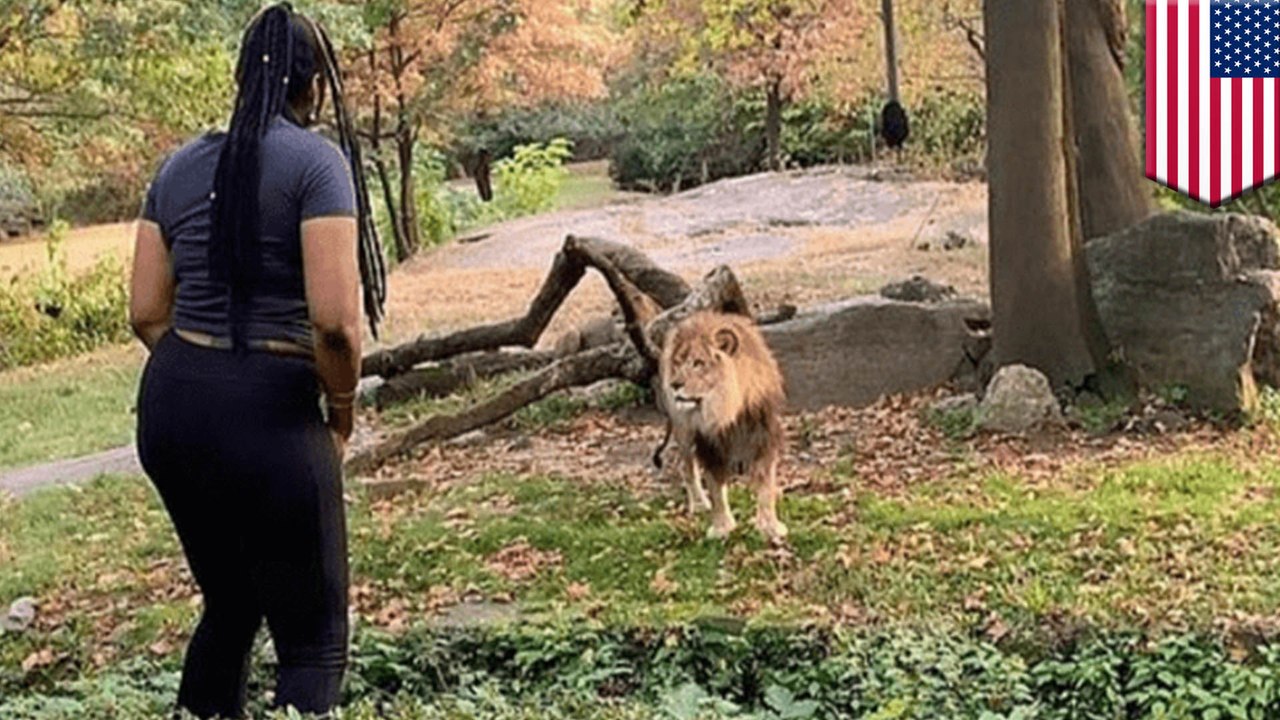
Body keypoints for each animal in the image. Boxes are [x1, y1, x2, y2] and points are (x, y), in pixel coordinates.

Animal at [654, 311, 788, 542]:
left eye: (698, 363)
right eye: (678, 363)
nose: (675, 384)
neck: (726, 410)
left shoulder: (763, 436)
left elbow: (766, 485)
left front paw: (770, 527)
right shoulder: (708, 445)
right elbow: (715, 488)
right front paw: (722, 528)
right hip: (683, 432)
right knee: (687, 468)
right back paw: (699, 504)